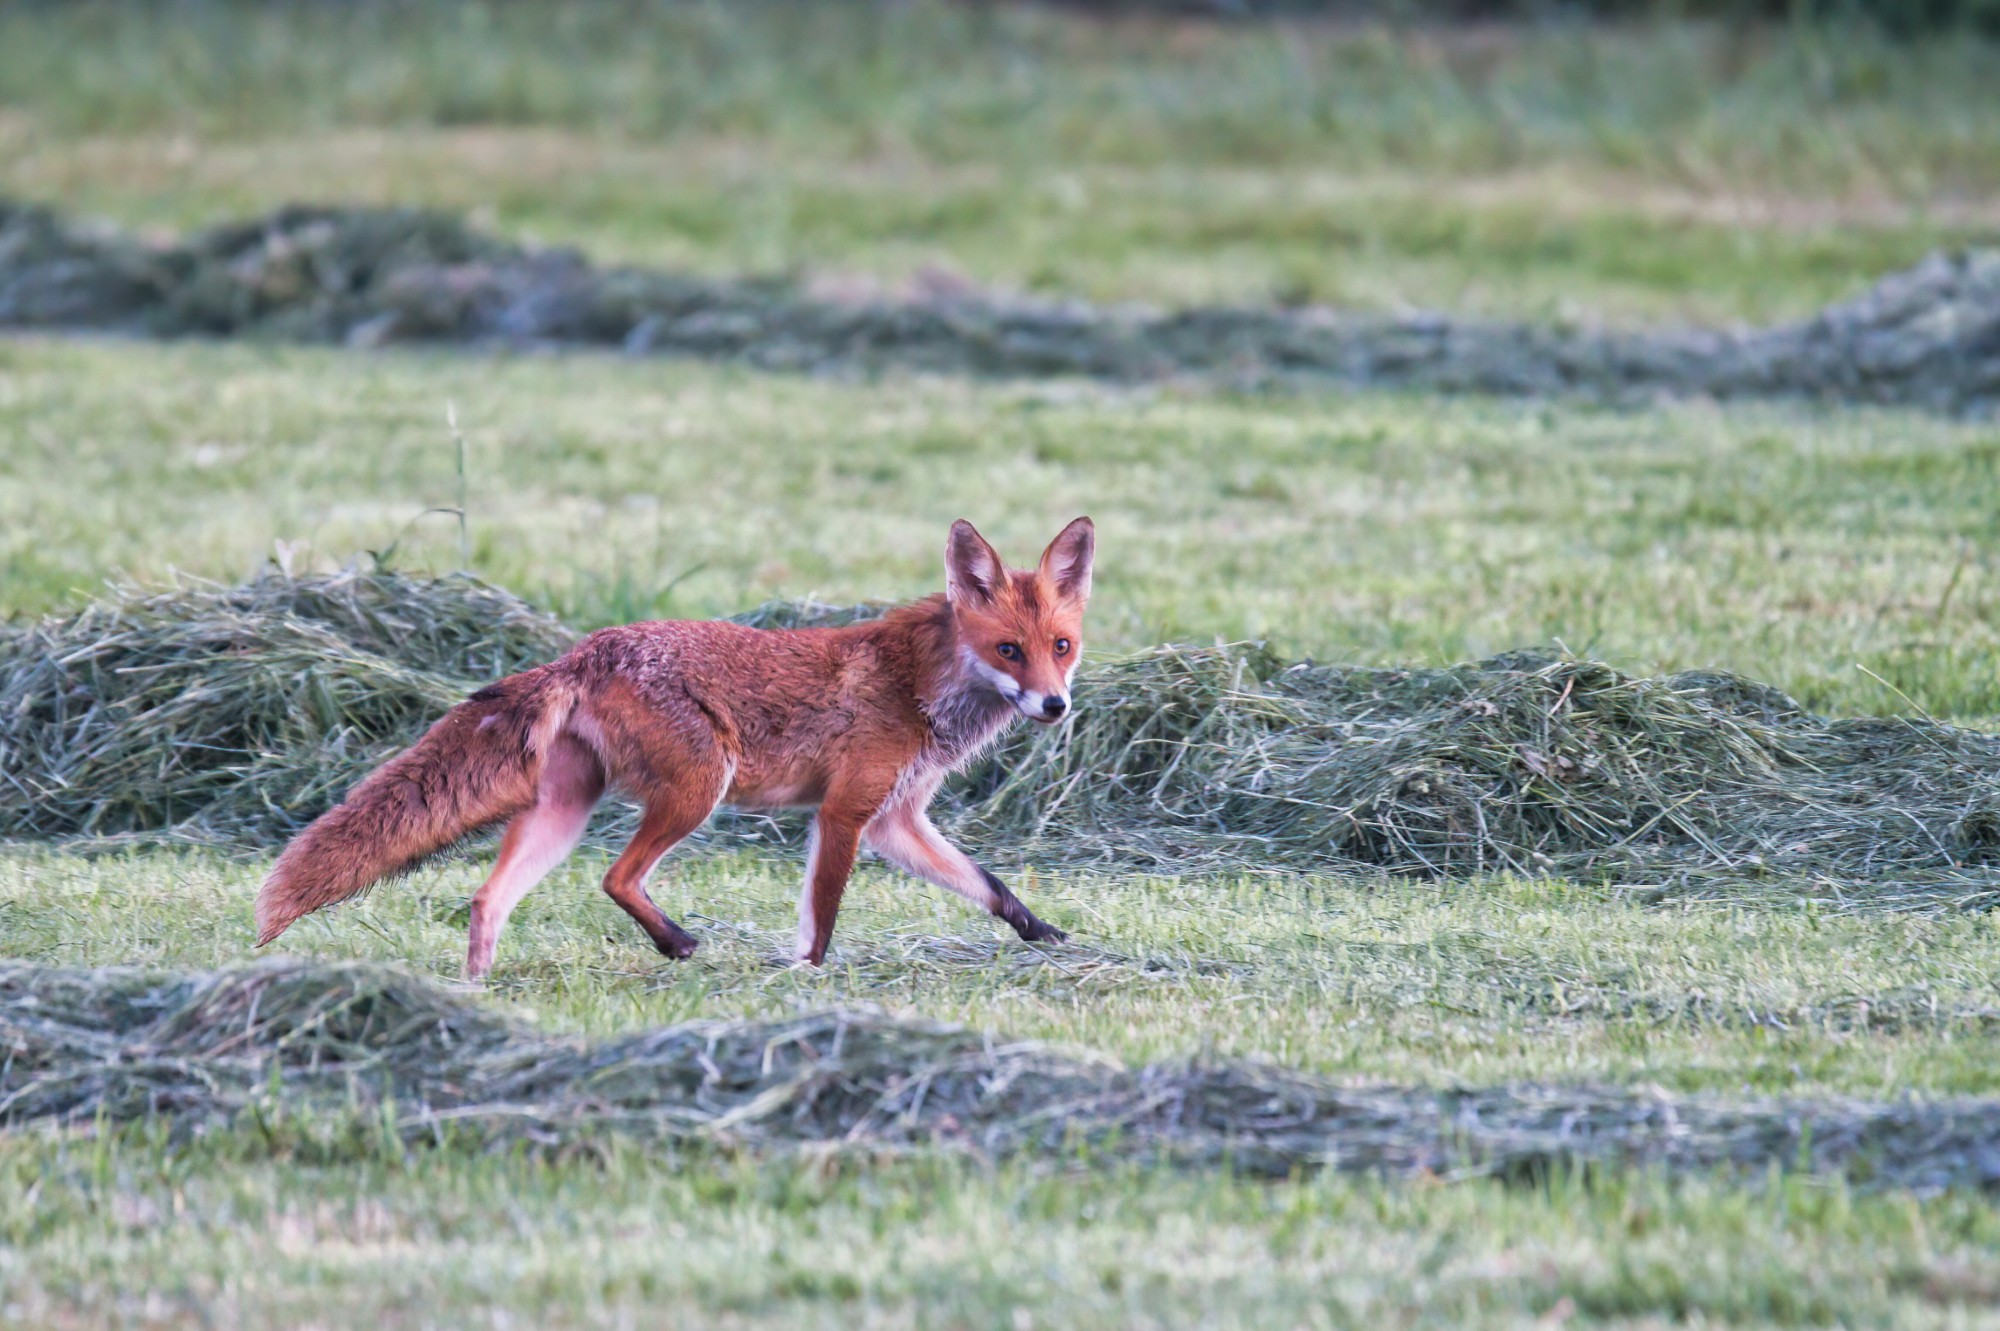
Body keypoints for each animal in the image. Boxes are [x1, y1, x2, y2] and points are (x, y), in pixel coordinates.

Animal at [253, 517, 1094, 978]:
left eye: (1061, 646)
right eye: (1009, 650)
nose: (1056, 705)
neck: (921, 685)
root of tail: (583, 650)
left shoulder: (898, 818)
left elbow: (990, 885)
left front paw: (1046, 934)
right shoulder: (845, 813)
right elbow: (821, 914)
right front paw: (807, 978)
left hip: (566, 808)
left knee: (490, 896)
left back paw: (475, 993)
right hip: (699, 787)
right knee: (616, 878)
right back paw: (677, 943)